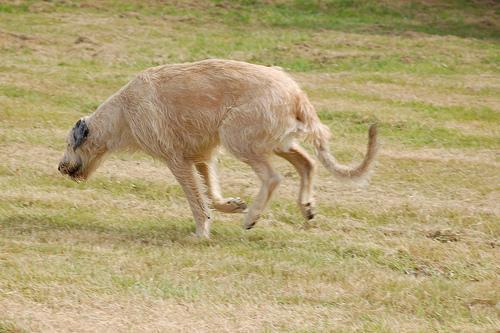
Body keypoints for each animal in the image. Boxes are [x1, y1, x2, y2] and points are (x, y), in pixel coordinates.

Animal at [57, 59, 378, 236]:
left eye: (69, 143)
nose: (60, 167)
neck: (123, 112)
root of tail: (297, 94)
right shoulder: (201, 157)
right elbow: (210, 194)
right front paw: (231, 205)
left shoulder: (177, 161)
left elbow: (196, 200)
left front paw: (202, 231)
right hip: (278, 141)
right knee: (307, 163)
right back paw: (306, 206)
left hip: (238, 136)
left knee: (273, 177)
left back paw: (252, 217)